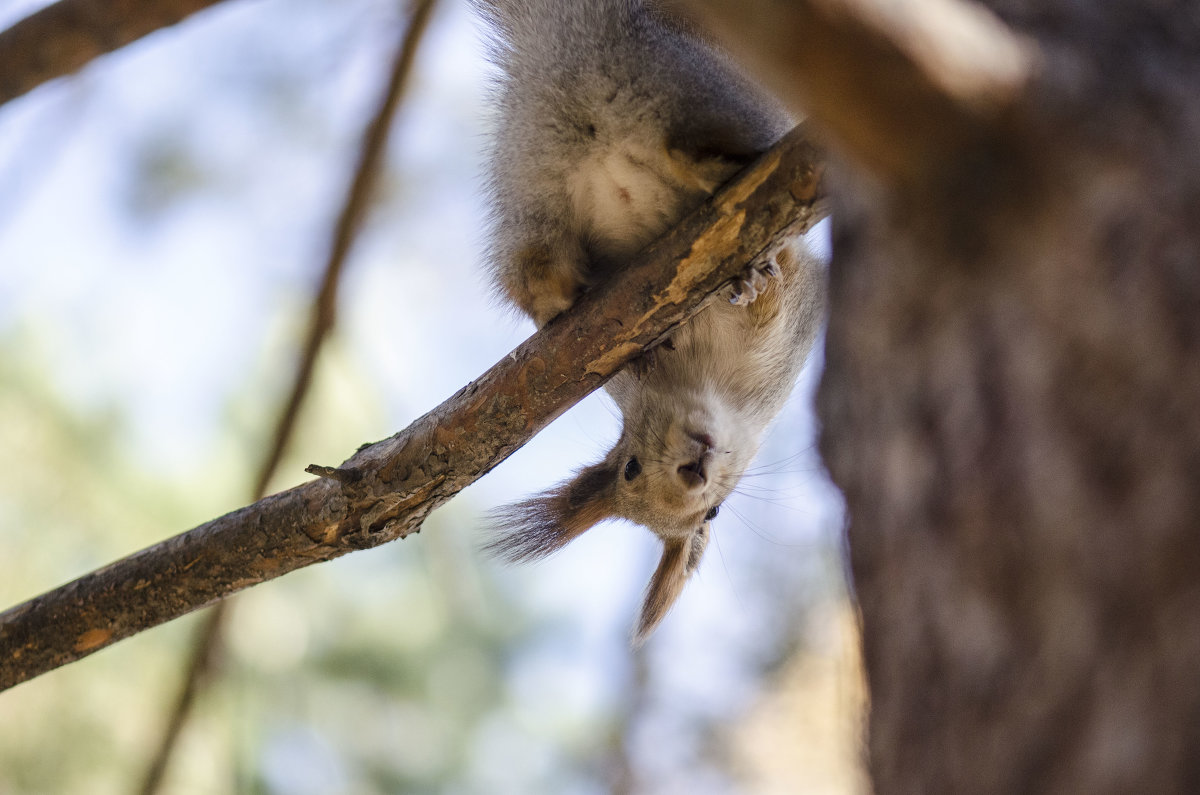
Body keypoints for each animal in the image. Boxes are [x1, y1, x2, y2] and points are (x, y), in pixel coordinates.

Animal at [475, 0, 825, 648]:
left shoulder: (800, 315)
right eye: (631, 471)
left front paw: (760, 280)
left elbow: (787, 284)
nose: (692, 471)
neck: (705, 381)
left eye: (713, 512)